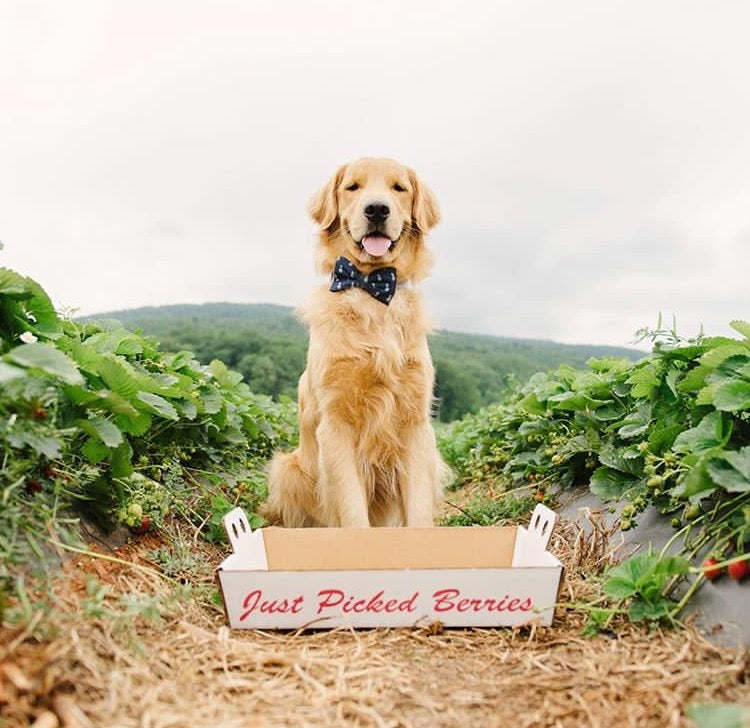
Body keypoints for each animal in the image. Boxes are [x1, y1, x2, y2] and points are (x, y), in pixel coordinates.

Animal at [264, 156, 446, 528]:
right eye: (352, 187)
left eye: (398, 188)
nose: (376, 209)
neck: (371, 291)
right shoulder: (336, 423)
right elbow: (351, 509)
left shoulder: (416, 422)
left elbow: (419, 510)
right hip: (287, 469)